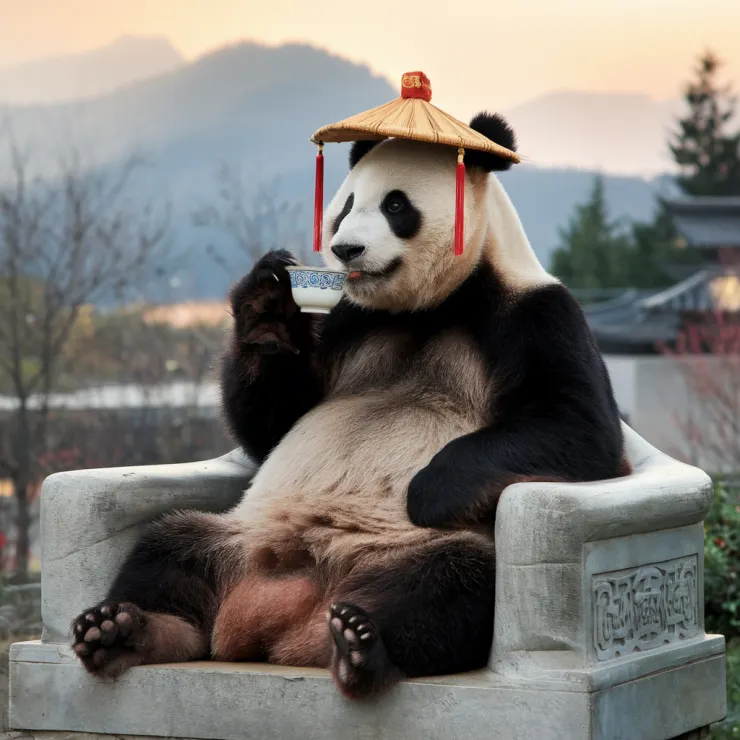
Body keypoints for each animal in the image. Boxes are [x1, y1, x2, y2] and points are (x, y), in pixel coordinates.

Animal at [70, 112, 627, 699]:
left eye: (396, 206)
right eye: (345, 205)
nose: (345, 250)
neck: (432, 304)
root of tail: (286, 616)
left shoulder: (534, 313)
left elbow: (578, 427)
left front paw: (429, 490)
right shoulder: (349, 319)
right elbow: (274, 424)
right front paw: (269, 302)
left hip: (409, 553)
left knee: (451, 583)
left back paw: (363, 646)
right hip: (238, 538)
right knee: (168, 547)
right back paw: (125, 631)